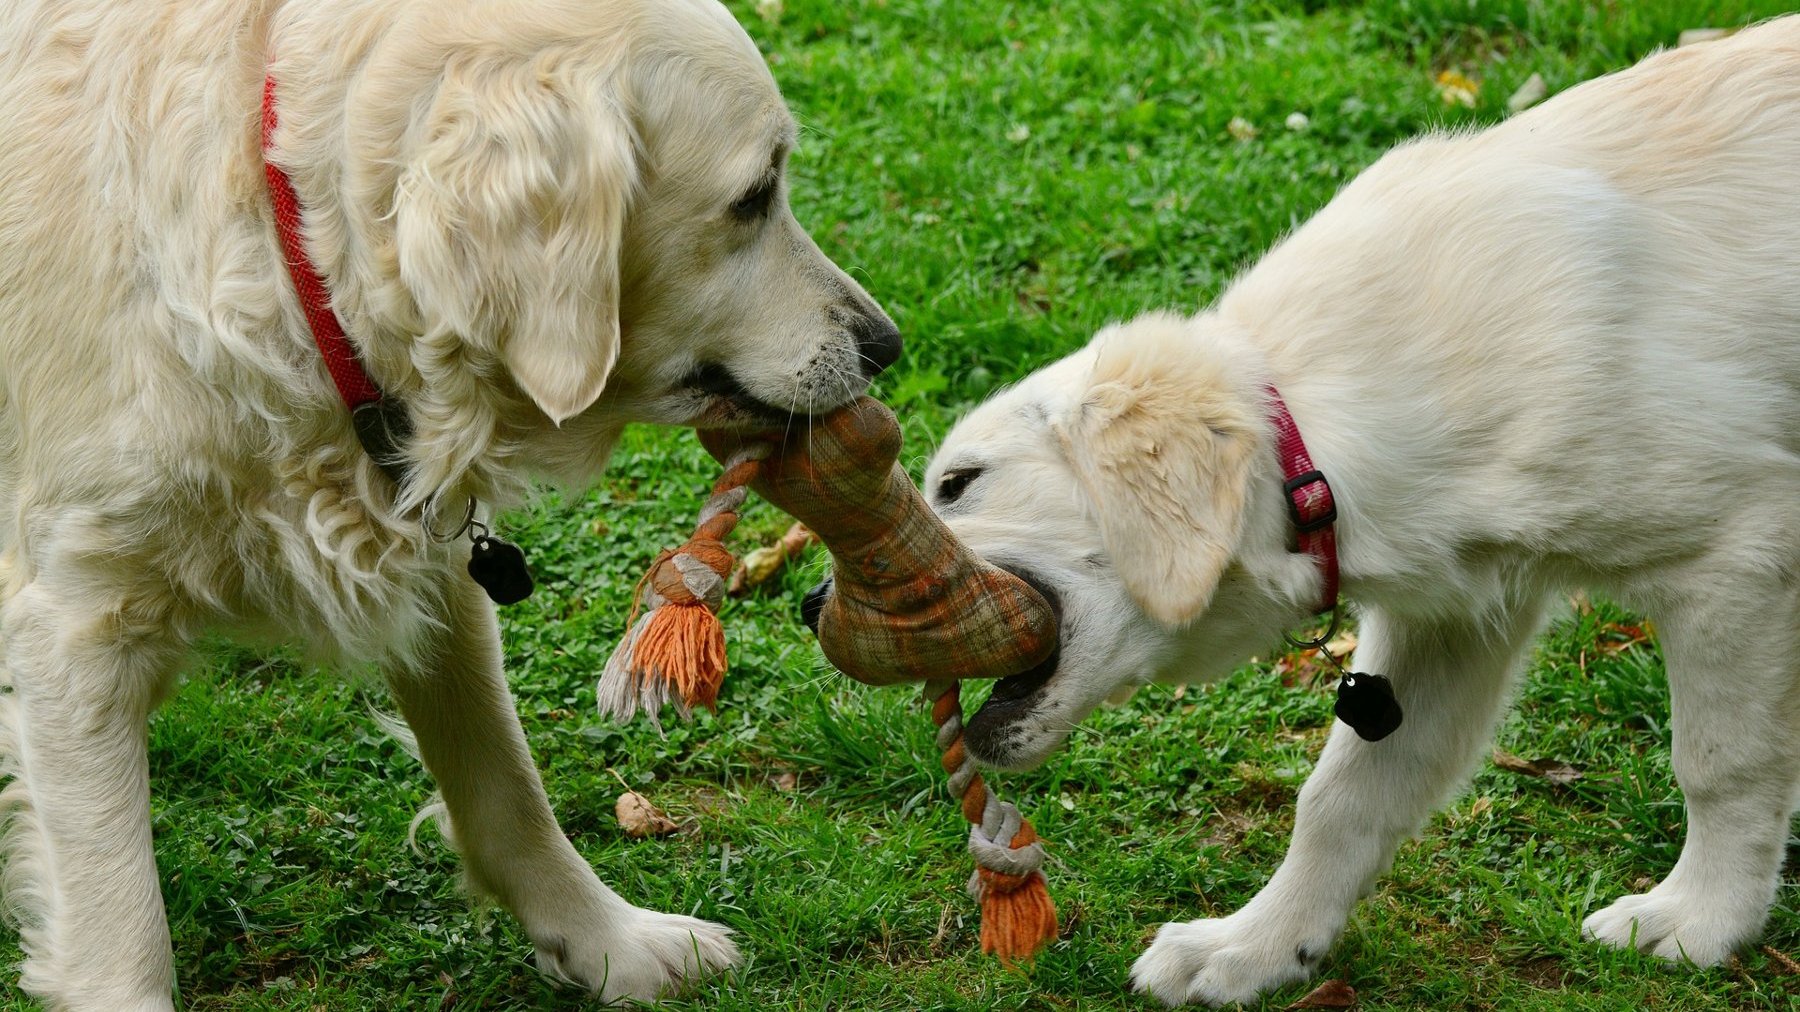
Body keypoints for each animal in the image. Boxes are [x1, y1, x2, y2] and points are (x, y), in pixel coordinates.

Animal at [0, 0, 900, 1001]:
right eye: (754, 194)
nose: (886, 343)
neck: (289, 250)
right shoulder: (76, 626)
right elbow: (120, 913)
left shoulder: (439, 575)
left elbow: (506, 788)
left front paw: (611, 941)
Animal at [914, 19, 1800, 1001]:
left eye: (960, 482)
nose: (826, 601)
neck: (1312, 439)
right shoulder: (1456, 616)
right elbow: (1344, 797)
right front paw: (1257, 947)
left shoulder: (1736, 554)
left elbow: (1722, 763)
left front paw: (1703, 923)